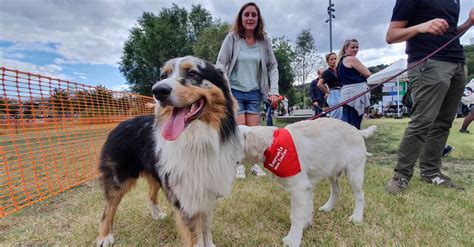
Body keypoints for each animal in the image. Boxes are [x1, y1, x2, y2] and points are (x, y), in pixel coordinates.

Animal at [239, 118, 376, 247]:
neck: (272, 144)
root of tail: (357, 131)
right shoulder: (306, 187)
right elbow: (307, 208)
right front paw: (306, 224)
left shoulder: (299, 188)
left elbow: (295, 216)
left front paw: (293, 239)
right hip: (331, 171)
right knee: (336, 190)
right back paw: (328, 207)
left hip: (354, 172)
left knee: (360, 195)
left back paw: (357, 218)